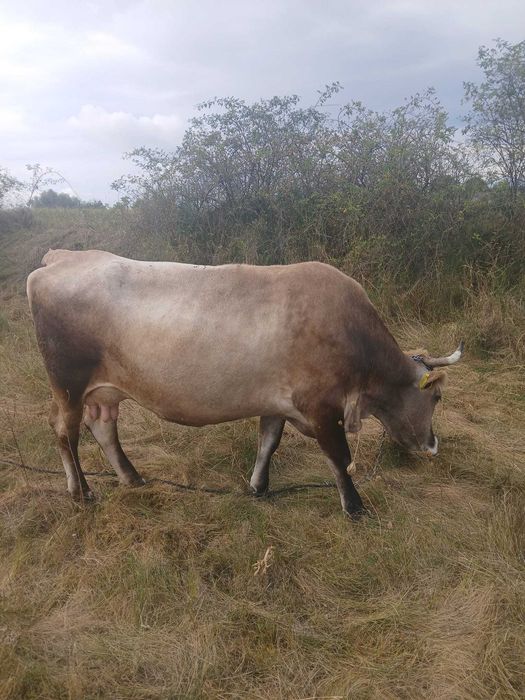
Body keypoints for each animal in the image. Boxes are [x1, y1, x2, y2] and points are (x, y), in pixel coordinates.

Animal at [27, 249, 463, 518]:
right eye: (438, 397)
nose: (434, 445)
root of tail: (64, 257)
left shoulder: (276, 401)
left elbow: (268, 442)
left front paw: (259, 487)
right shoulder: (323, 408)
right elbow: (340, 459)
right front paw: (355, 508)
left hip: (104, 390)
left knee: (102, 426)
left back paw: (132, 479)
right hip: (67, 384)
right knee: (65, 432)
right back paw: (82, 493)